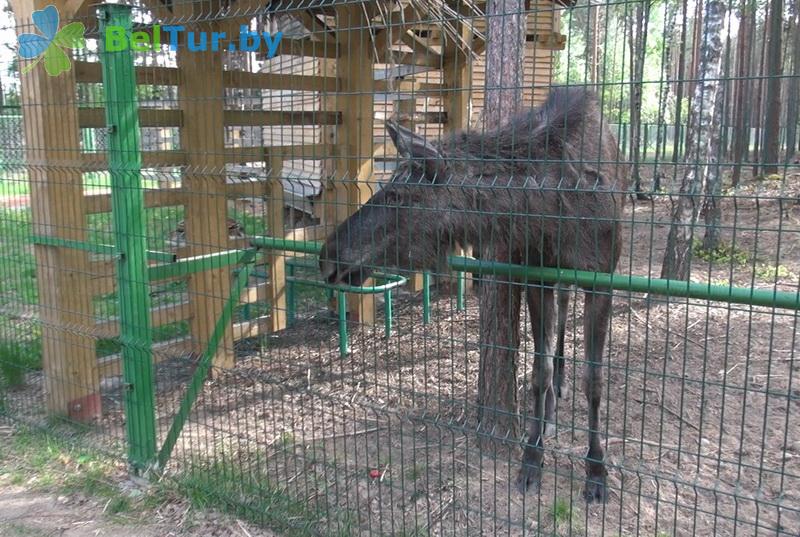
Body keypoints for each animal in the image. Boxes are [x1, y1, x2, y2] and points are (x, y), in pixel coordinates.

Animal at [320, 88, 632, 502]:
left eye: (399, 194)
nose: (327, 256)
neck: (553, 212)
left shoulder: (601, 280)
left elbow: (594, 381)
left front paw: (596, 470)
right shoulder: (537, 277)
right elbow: (540, 371)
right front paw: (532, 455)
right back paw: (551, 408)